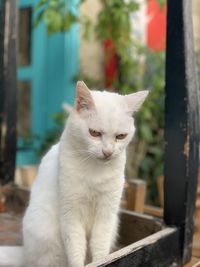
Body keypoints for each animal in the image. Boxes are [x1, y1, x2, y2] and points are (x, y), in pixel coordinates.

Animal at [22, 82, 148, 267]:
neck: (94, 170)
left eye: (121, 136)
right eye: (94, 133)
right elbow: (75, 248)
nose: (108, 152)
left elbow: (100, 246)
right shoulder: (71, 214)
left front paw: (102, 261)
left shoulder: (106, 213)